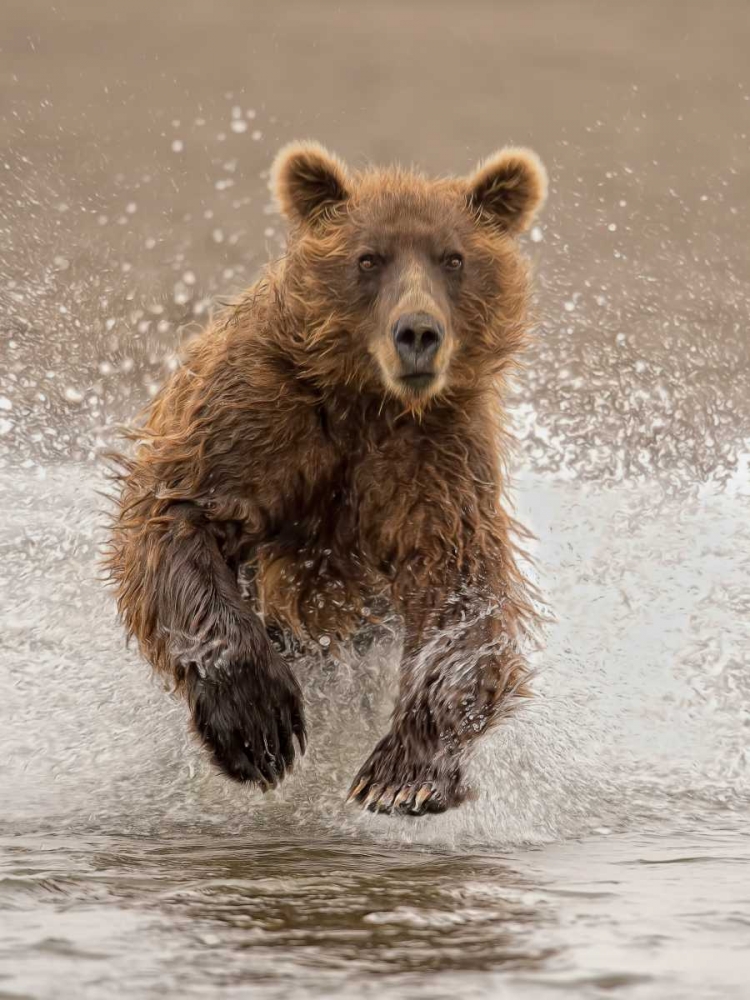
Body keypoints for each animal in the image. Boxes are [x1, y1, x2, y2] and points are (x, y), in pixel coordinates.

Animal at [106, 140, 547, 816]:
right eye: (368, 258)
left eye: (454, 258)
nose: (417, 333)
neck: (367, 400)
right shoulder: (256, 416)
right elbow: (179, 515)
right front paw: (259, 727)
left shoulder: (436, 457)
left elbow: (460, 586)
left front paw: (404, 776)